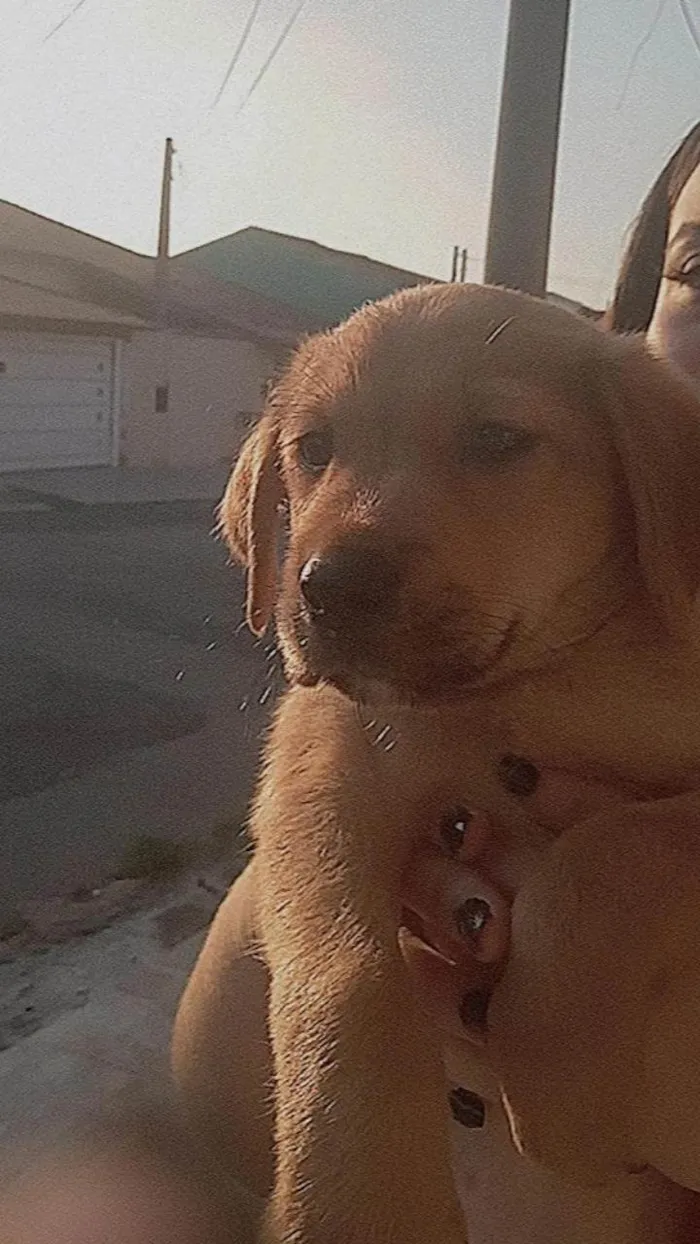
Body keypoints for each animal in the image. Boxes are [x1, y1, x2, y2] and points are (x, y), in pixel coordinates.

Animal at [220, 284, 700, 1244]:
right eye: (314, 450)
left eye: (495, 440)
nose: (330, 589)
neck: (541, 684)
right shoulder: (320, 769)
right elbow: (346, 976)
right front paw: (361, 1200)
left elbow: (607, 855)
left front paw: (561, 1092)